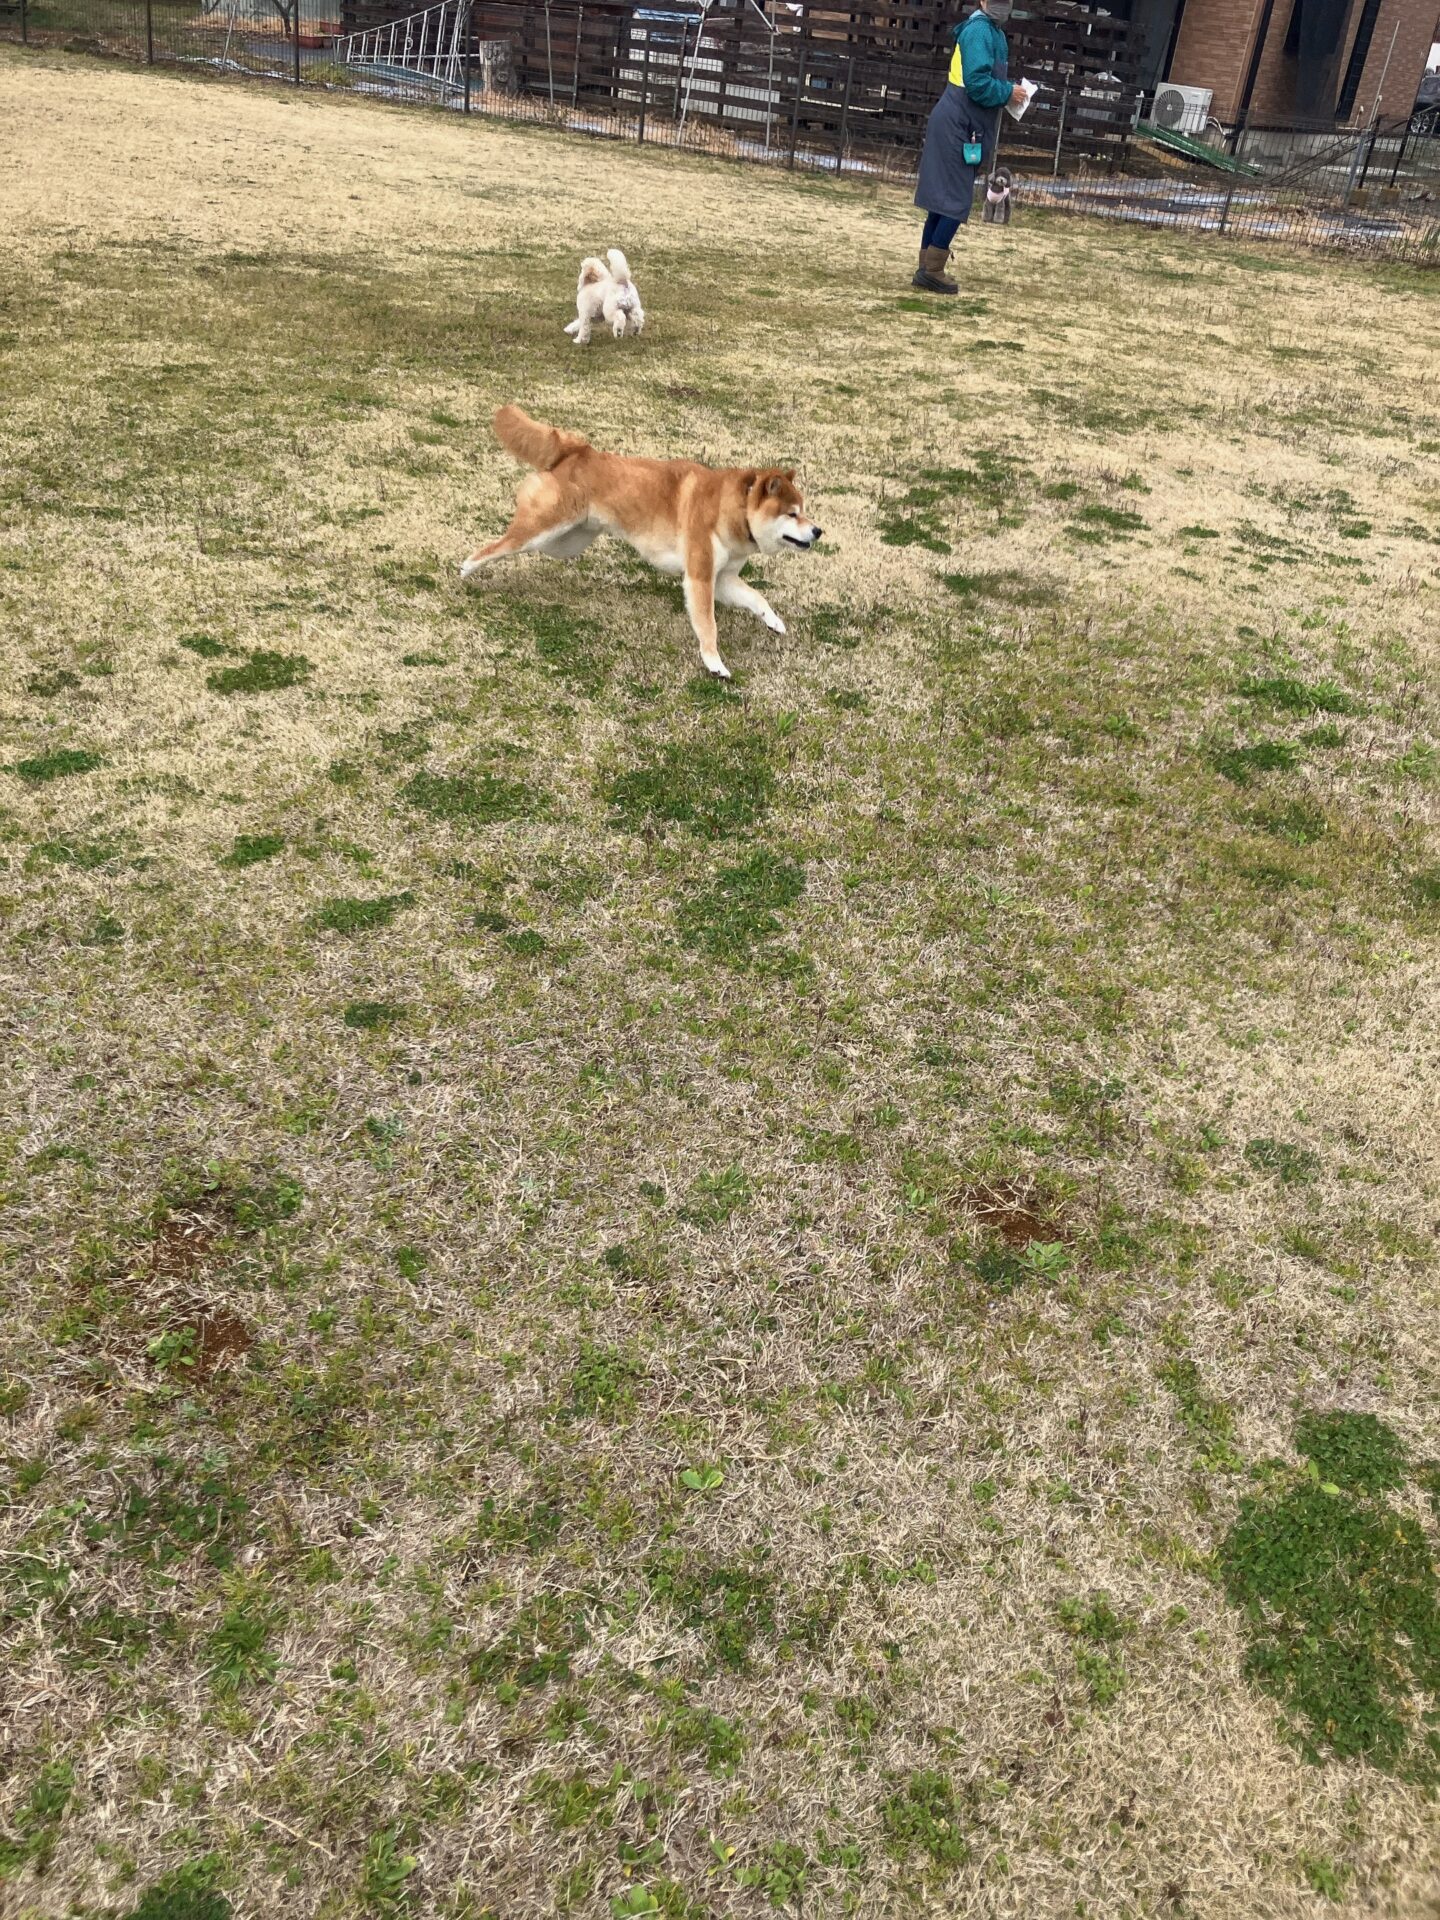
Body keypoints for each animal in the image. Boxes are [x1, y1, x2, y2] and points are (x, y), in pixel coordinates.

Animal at [460, 407, 822, 679]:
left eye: (803, 511)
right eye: (792, 514)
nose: (818, 531)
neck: (735, 507)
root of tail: (577, 450)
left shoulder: (723, 579)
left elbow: (757, 597)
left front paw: (774, 622)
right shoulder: (700, 578)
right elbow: (708, 624)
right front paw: (714, 663)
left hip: (565, 542)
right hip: (545, 528)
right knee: (503, 544)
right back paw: (466, 567)